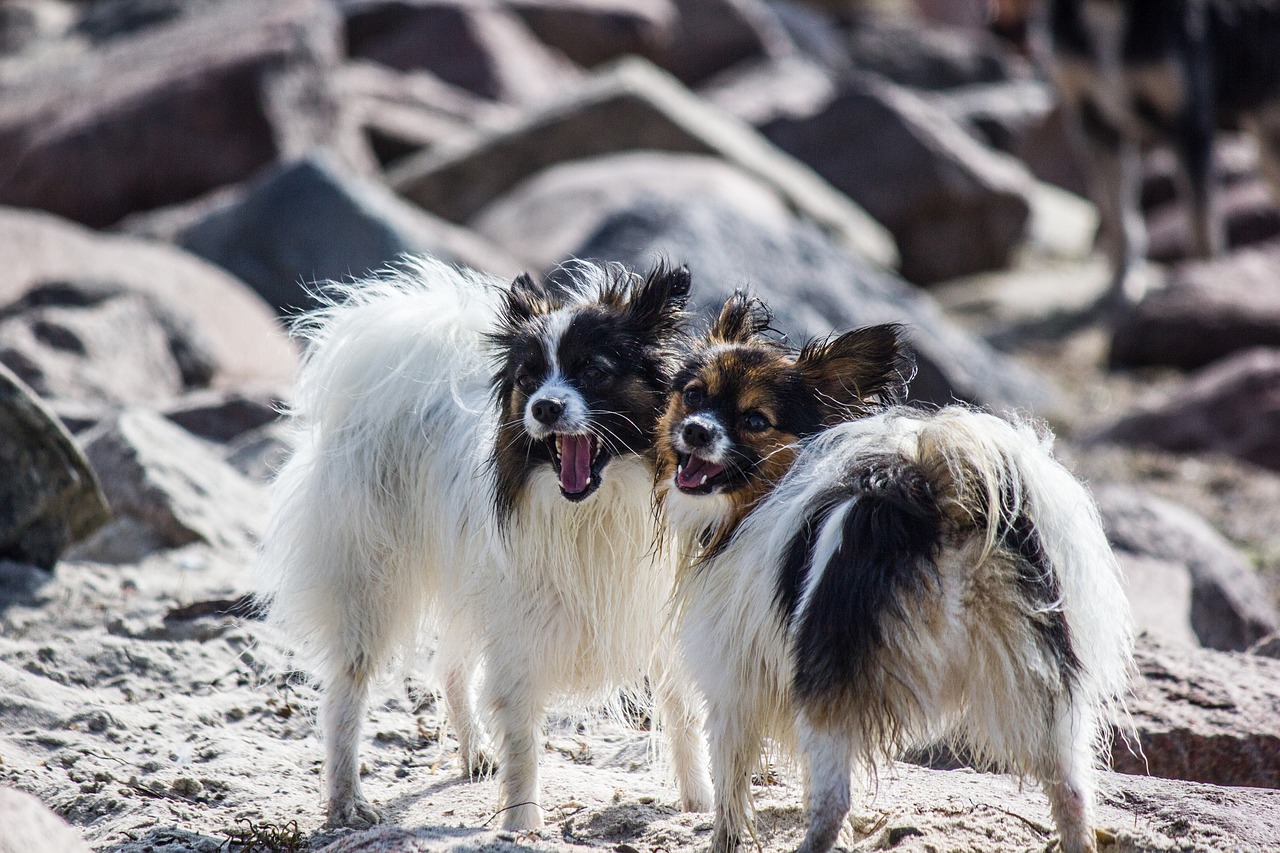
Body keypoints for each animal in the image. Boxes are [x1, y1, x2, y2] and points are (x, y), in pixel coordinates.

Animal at [254, 258, 716, 829]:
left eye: (594, 373)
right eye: (527, 380)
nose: (543, 408)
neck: (596, 505)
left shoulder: (659, 619)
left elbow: (683, 715)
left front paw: (699, 804)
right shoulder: (517, 633)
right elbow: (522, 741)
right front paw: (522, 824)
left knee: (451, 670)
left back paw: (474, 756)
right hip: (369, 589)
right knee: (347, 692)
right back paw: (347, 802)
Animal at [660, 292, 1131, 850]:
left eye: (755, 421)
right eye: (693, 395)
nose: (695, 430)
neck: (754, 502)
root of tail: (945, 508)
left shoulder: (733, 688)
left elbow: (730, 799)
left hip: (831, 692)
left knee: (832, 804)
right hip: (1038, 690)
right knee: (1073, 795)